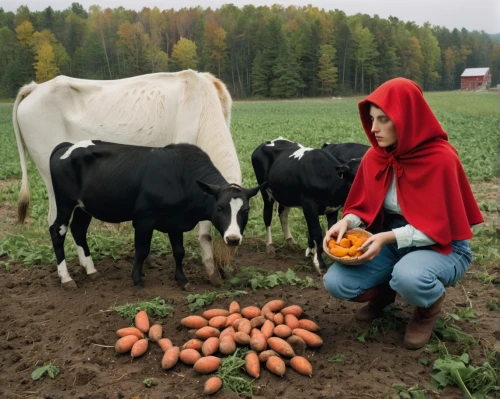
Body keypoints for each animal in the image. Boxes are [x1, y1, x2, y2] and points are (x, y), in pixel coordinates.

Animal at [49, 141, 262, 290]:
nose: (233, 239)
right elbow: (142, 250)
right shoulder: (144, 219)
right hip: (65, 204)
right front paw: (137, 280)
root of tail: (67, 146)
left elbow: (179, 251)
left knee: (78, 230)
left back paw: (91, 270)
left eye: (246, 210)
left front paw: (182, 280)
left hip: (83, 208)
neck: (182, 177)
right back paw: (66, 278)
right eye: (219, 208)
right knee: (57, 232)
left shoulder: (176, 222)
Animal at [252, 138, 370, 276]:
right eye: (357, 176)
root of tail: (269, 141)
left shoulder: (333, 208)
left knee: (283, 214)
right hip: (265, 191)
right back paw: (270, 246)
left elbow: (331, 232)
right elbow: (317, 233)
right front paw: (319, 263)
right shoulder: (308, 204)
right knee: (267, 216)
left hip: (285, 193)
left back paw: (291, 241)